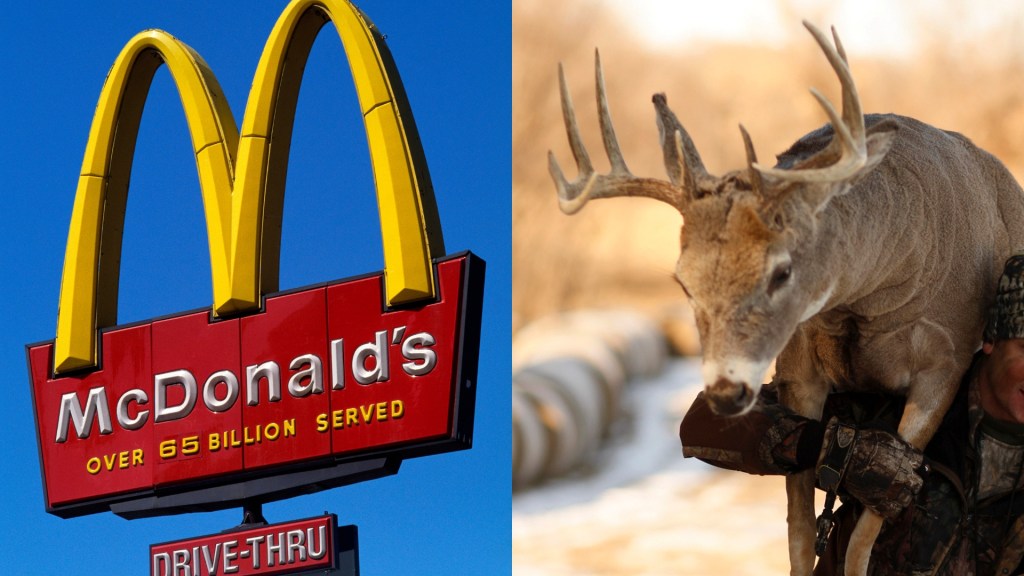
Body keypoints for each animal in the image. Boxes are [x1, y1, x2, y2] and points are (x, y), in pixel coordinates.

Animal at [548, 21, 1024, 573]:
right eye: (682, 280)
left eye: (782, 270)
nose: (726, 391)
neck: (869, 298)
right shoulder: (798, 368)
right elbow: (799, 529)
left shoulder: (945, 363)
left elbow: (862, 538)